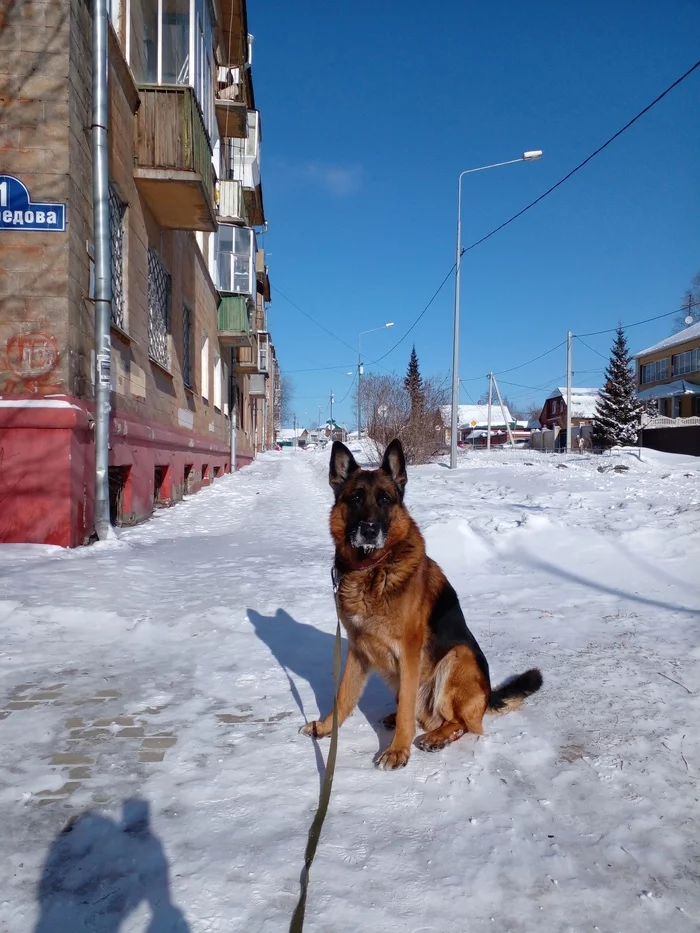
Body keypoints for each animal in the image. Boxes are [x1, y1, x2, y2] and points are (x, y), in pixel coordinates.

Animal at [300, 440, 540, 768]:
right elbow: (342, 696)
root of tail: (487, 697)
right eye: (356, 497)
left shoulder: (409, 653)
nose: (370, 530)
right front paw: (326, 728)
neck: (373, 568)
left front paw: (398, 750)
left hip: (459, 658)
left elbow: (406, 712)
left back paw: (437, 737)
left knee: (461, 723)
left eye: (385, 499)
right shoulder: (358, 650)